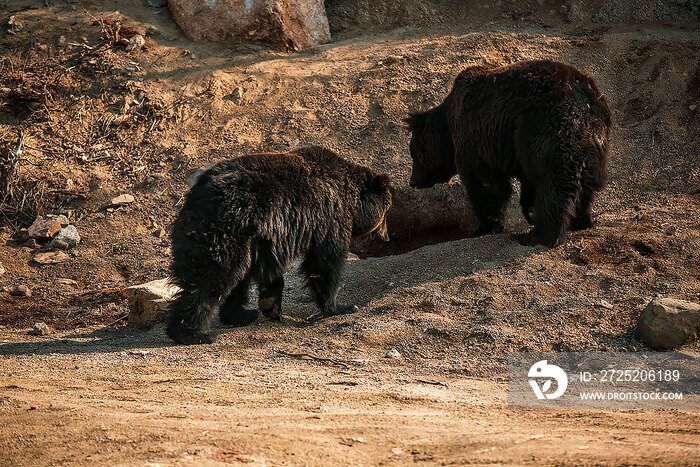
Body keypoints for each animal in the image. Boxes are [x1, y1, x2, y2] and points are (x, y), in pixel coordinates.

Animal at [166, 145, 392, 344]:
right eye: (387, 211)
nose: (387, 237)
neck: (349, 199)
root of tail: (199, 196)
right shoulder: (326, 219)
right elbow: (326, 263)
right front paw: (340, 307)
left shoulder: (272, 236)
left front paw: (270, 303)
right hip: (228, 229)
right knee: (211, 279)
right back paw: (190, 333)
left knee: (233, 275)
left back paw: (242, 314)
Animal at [404, 60, 612, 247]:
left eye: (415, 154)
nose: (413, 181)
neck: (448, 127)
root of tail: (583, 97)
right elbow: (525, 182)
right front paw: (528, 210)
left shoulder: (475, 135)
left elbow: (485, 183)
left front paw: (484, 227)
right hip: (595, 141)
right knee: (586, 183)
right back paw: (581, 221)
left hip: (546, 125)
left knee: (554, 179)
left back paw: (541, 235)